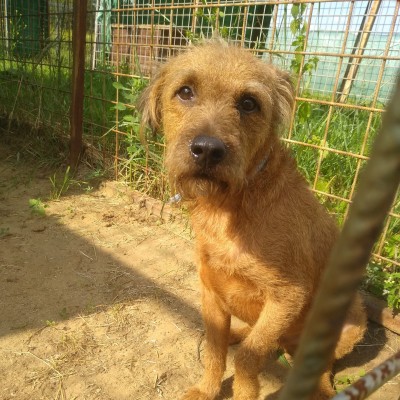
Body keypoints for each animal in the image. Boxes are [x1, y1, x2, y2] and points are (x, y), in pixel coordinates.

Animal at [138, 42, 367, 400]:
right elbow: (216, 349)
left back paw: (321, 387)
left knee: (320, 362)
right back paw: (240, 333)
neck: (230, 208)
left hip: (350, 323)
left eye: (249, 103)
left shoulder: (287, 297)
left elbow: (248, 358)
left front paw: (244, 391)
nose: (207, 150)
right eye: (185, 91)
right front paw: (206, 389)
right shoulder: (211, 293)